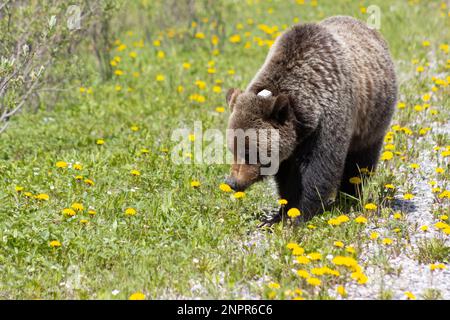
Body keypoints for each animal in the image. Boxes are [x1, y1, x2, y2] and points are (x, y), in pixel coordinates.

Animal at [225, 16, 398, 224]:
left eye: (250, 151)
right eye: (232, 149)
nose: (232, 182)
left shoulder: (326, 122)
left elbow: (317, 170)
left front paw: (298, 214)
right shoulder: (292, 142)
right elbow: (286, 176)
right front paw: (279, 214)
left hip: (371, 120)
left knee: (360, 163)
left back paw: (349, 198)